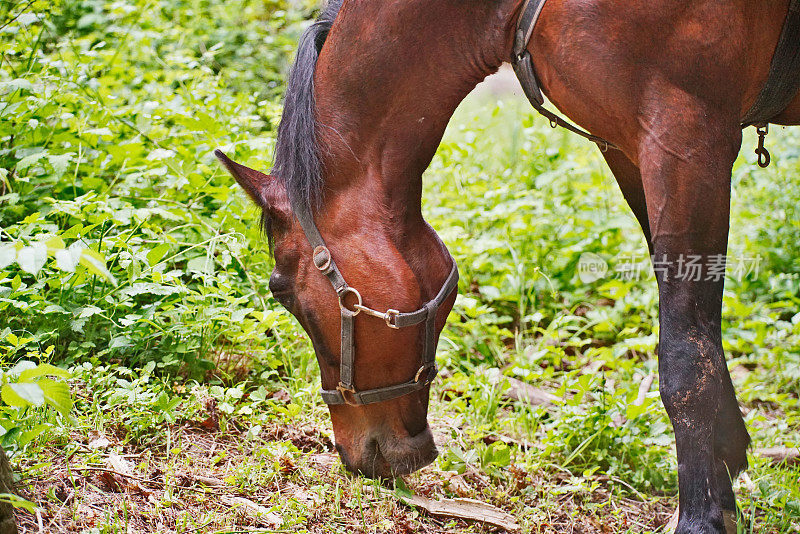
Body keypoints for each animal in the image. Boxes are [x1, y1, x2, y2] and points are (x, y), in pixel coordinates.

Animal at [219, 2, 800, 532]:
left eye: (283, 291)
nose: (356, 456)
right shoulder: (631, 146)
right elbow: (698, 328)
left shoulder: (685, 139)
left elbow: (683, 354)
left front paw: (701, 515)